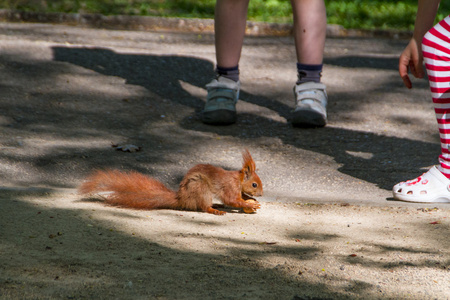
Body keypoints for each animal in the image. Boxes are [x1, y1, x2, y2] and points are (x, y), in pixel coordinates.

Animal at [79, 149, 264, 214]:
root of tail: (182, 199)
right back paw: (214, 210)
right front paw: (249, 204)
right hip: (200, 187)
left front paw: (251, 200)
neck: (238, 179)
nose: (262, 194)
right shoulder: (230, 187)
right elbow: (231, 200)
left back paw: (216, 205)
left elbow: (239, 198)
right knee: (203, 206)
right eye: (254, 184)